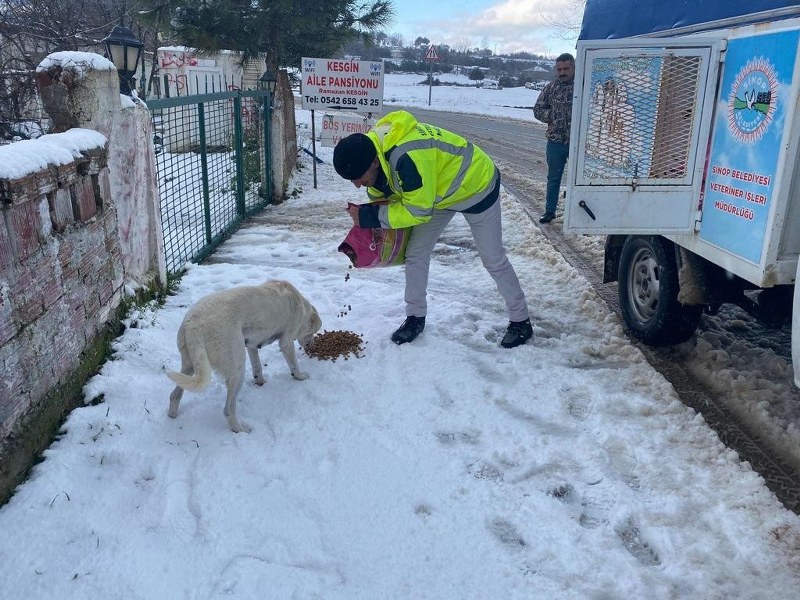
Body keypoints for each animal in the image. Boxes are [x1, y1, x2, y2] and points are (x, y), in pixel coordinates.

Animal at [166, 280, 322, 432]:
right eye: (312, 332)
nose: (312, 345)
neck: (300, 303)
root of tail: (193, 325)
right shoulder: (286, 342)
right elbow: (294, 365)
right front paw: (300, 377)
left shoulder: (252, 345)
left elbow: (257, 366)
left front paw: (260, 381)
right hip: (237, 368)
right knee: (228, 410)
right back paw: (240, 429)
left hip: (190, 366)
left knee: (174, 395)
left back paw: (172, 416)